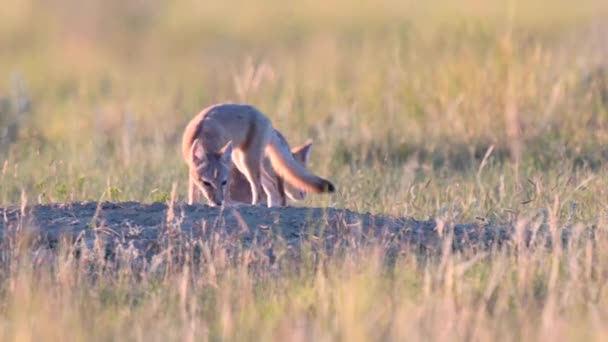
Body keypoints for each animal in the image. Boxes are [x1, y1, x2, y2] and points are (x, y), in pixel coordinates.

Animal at [184, 103, 338, 206]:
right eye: (206, 183)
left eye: (223, 182)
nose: (218, 203)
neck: (204, 135)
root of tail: (266, 119)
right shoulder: (192, 170)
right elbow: (193, 192)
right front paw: (194, 203)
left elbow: (226, 193)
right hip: (246, 162)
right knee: (271, 188)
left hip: (246, 162)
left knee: (259, 190)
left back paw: (255, 205)